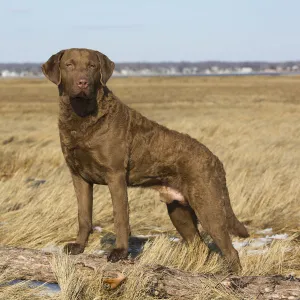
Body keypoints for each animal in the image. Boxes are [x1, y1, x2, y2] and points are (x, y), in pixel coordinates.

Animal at [41, 47, 248, 272]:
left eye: (92, 66)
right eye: (69, 65)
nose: (82, 82)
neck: (82, 117)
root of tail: (216, 160)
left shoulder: (115, 175)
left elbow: (120, 216)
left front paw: (120, 252)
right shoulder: (79, 177)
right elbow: (83, 215)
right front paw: (78, 246)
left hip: (208, 205)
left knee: (230, 250)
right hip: (178, 210)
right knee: (200, 246)